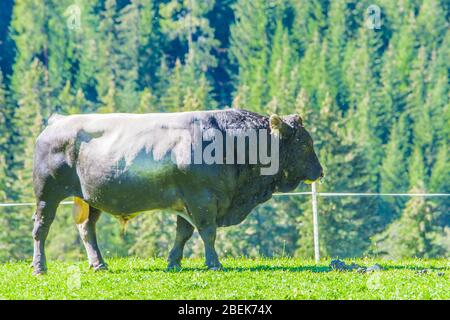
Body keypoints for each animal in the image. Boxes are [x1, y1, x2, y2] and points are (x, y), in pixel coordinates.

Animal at [31, 109, 322, 274]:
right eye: (305, 143)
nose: (320, 171)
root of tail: (57, 121)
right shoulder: (202, 199)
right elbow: (207, 232)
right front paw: (214, 263)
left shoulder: (188, 202)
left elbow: (183, 233)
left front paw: (174, 262)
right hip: (47, 194)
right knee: (41, 228)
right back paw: (39, 267)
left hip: (91, 199)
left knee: (86, 229)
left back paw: (99, 264)